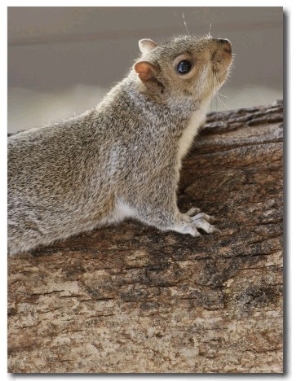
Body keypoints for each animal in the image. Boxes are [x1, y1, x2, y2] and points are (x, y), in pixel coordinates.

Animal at [6, 36, 232, 255]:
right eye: (184, 66)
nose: (226, 45)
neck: (147, 111)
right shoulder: (142, 160)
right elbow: (149, 204)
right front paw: (186, 221)